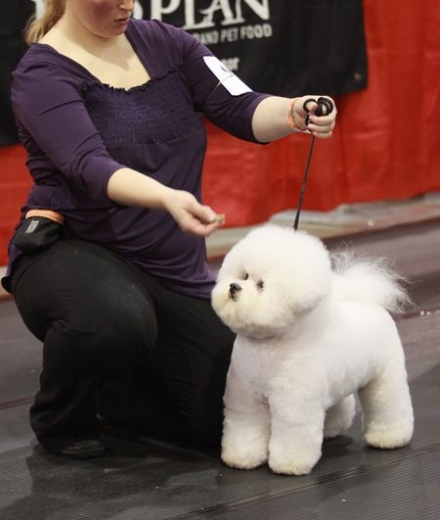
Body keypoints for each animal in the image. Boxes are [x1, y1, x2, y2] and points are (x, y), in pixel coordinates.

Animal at [211, 223, 414, 476]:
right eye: (244, 275)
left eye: (261, 285)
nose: (233, 287)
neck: (266, 347)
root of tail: (367, 302)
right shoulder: (246, 399)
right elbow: (245, 427)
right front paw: (241, 458)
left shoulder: (293, 406)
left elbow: (293, 433)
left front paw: (289, 464)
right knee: (339, 403)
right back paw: (332, 429)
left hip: (385, 377)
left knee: (389, 403)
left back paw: (390, 438)